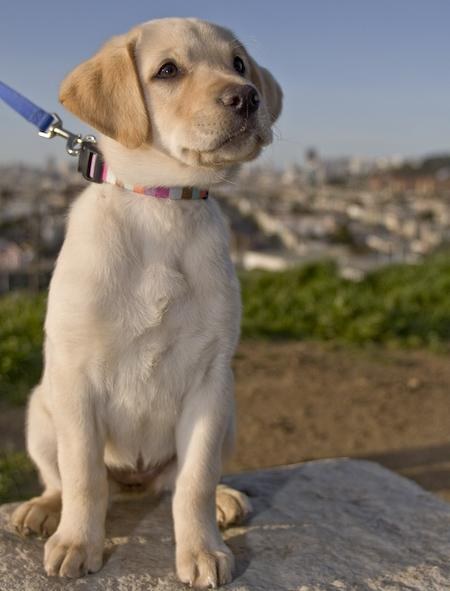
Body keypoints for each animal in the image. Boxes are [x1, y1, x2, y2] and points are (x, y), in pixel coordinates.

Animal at [10, 16, 282, 588]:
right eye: (168, 71)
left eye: (239, 64)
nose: (247, 96)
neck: (163, 207)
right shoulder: (76, 379)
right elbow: (84, 477)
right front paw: (78, 542)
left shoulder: (210, 382)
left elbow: (195, 481)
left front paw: (201, 548)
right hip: (40, 408)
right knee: (62, 479)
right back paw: (44, 510)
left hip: (228, 414)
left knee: (178, 482)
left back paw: (224, 499)